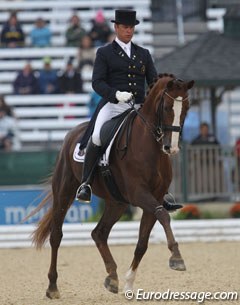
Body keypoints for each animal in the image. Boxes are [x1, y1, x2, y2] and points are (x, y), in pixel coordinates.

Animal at [30, 73, 195, 296]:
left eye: (186, 107)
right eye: (168, 107)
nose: (172, 148)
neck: (149, 146)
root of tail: (72, 134)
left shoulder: (155, 196)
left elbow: (142, 242)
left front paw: (129, 282)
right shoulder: (139, 194)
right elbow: (164, 215)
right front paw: (176, 257)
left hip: (117, 202)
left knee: (99, 233)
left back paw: (112, 278)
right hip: (64, 192)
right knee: (56, 235)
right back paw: (53, 287)